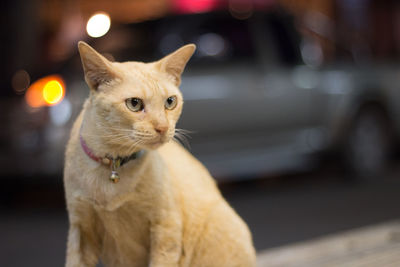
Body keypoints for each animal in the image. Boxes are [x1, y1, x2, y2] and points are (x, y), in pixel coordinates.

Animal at [63, 42, 255, 267]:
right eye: (134, 104)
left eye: (170, 102)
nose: (163, 128)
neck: (114, 165)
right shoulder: (81, 230)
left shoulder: (166, 229)